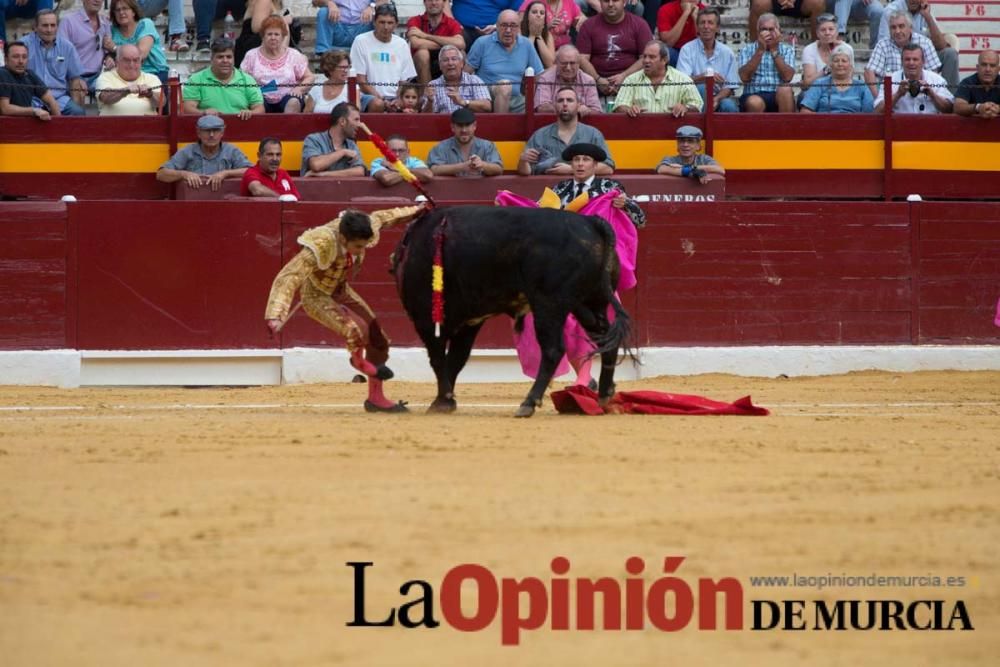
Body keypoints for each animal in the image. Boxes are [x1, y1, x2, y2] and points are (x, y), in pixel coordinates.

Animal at [392, 205, 632, 418]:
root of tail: (591, 222)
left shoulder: (425, 318)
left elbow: (438, 358)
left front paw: (442, 401)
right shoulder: (470, 322)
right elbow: (456, 358)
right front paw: (445, 400)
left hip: (548, 305)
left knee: (553, 350)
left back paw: (528, 403)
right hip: (590, 304)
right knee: (605, 339)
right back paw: (604, 395)